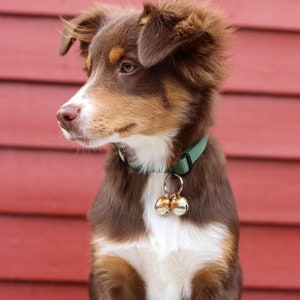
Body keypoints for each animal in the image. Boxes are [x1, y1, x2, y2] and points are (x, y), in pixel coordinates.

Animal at [57, 1, 243, 298]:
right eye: (89, 70)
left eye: (128, 66)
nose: (62, 117)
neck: (156, 167)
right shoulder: (110, 269)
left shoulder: (215, 268)